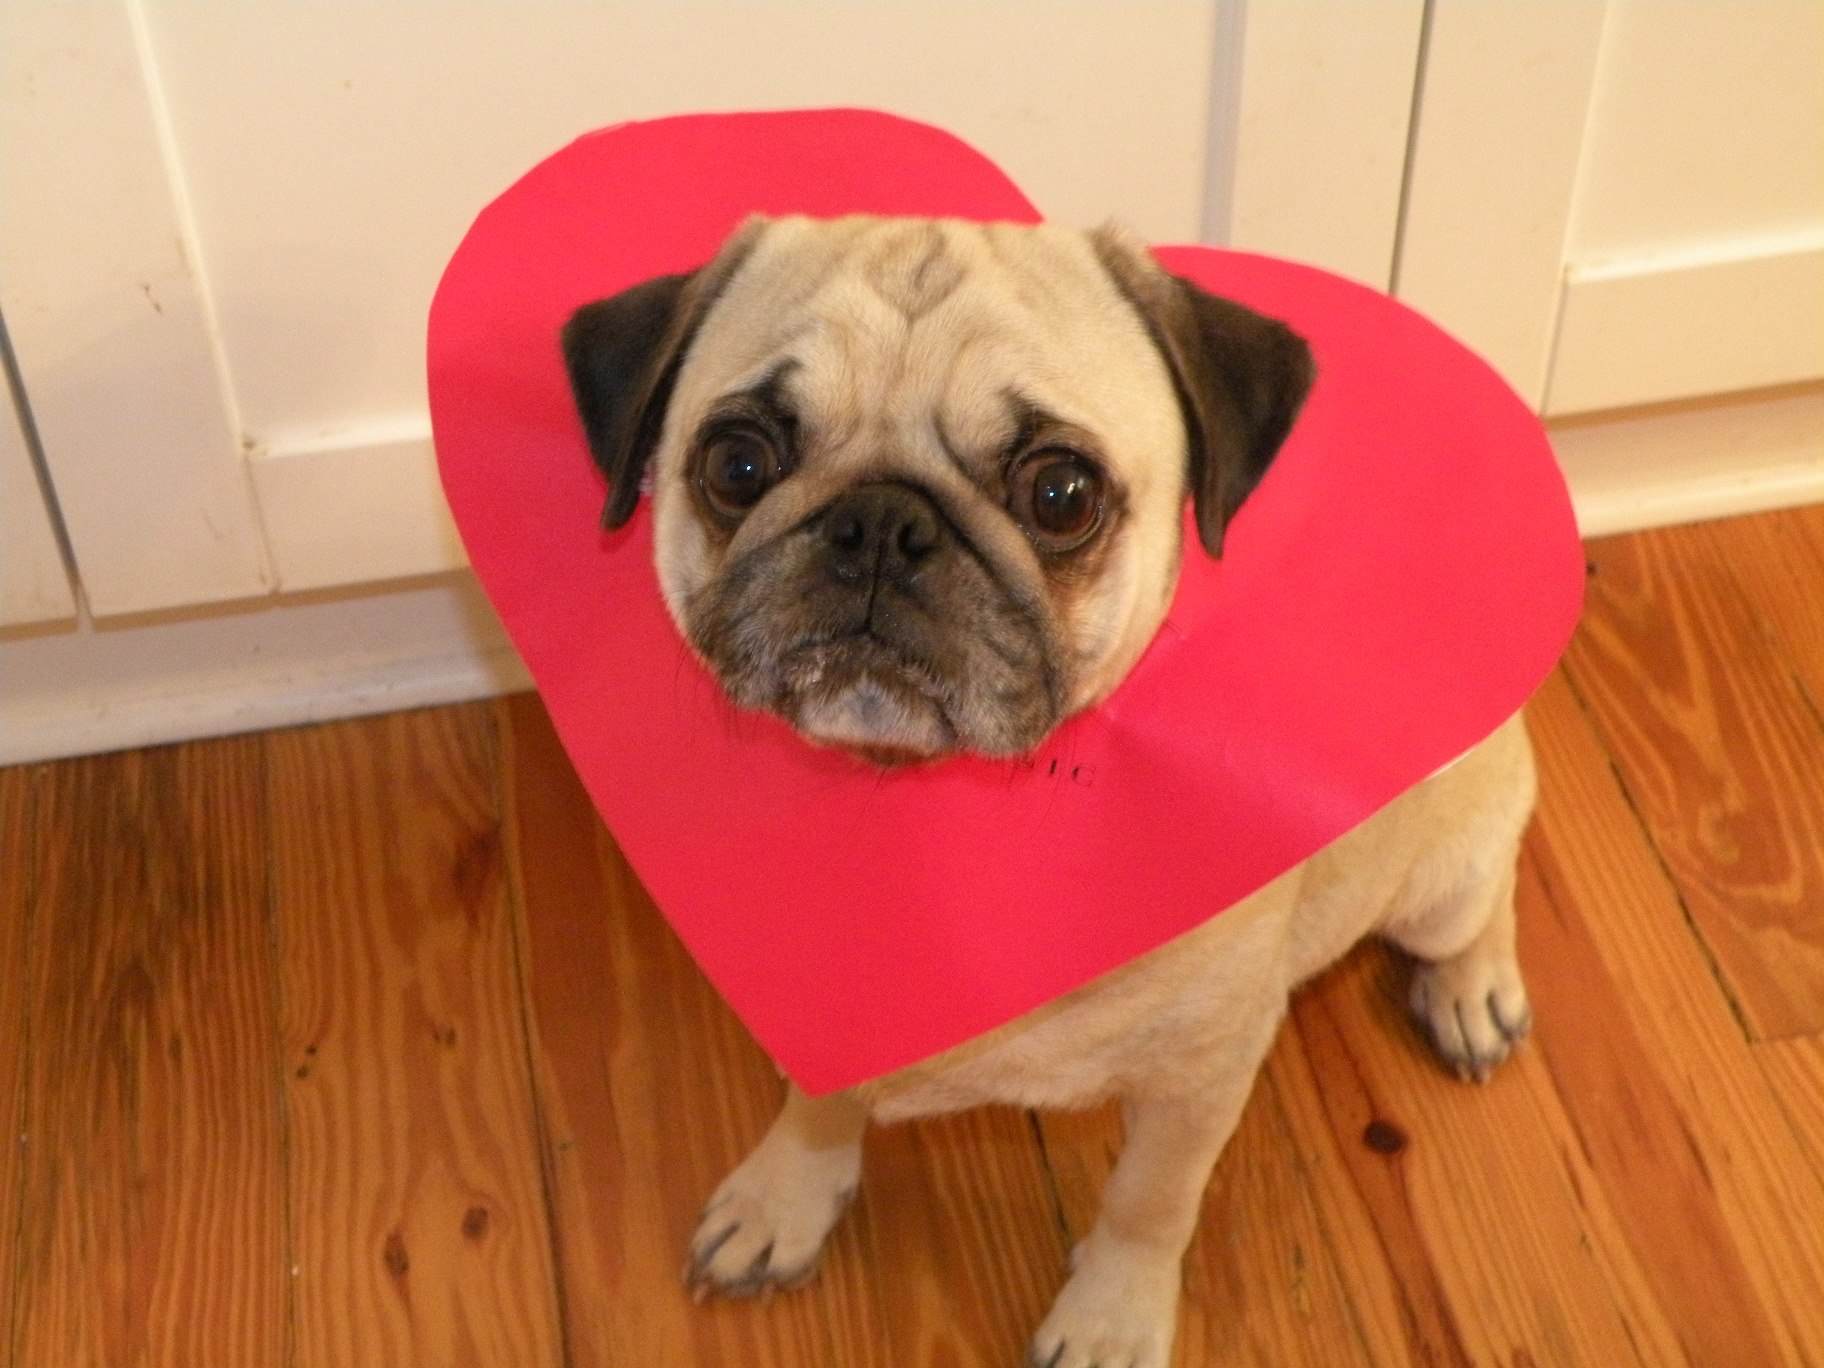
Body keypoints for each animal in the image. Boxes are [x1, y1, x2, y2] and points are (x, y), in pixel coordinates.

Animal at [561, 219, 1532, 1364]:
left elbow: (1150, 1203)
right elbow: (817, 1102)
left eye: (1060, 494)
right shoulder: (816, 1006)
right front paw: (784, 1196)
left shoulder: (1201, 1074)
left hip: (1438, 878)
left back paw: (1474, 991)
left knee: (1487, 893)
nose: (879, 522)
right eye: (737, 463)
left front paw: (1111, 1315)